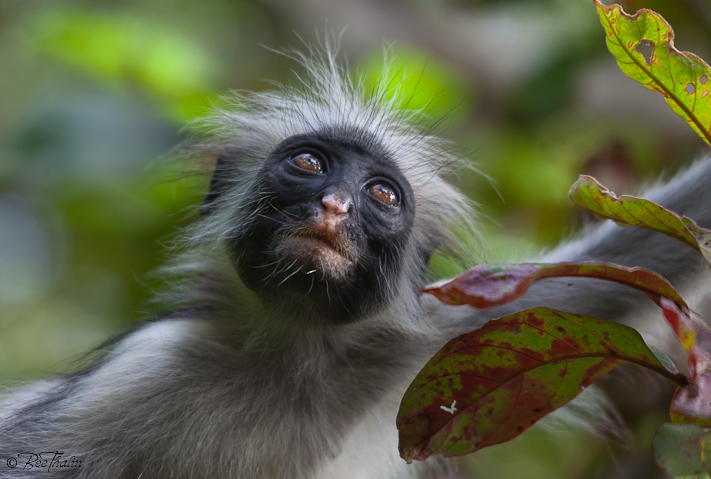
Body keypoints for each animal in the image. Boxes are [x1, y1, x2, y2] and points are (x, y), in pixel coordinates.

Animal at [1, 49, 711, 479]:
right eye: (309, 163)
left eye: (382, 195)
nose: (336, 204)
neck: (290, 359)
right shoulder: (144, 369)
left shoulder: (429, 347)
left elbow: (634, 268)